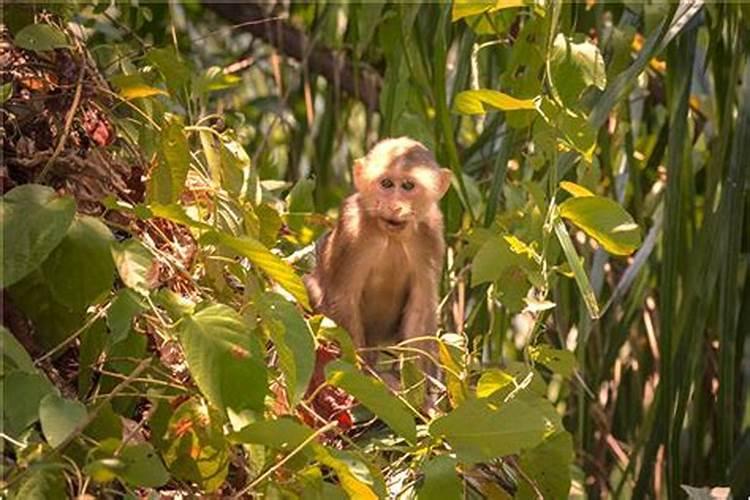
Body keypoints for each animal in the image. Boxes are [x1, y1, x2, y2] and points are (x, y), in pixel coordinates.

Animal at [304, 137, 452, 378]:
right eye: (387, 183)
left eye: (408, 186)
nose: (394, 206)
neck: (391, 235)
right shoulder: (352, 225)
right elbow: (343, 299)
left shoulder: (431, 232)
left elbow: (421, 308)